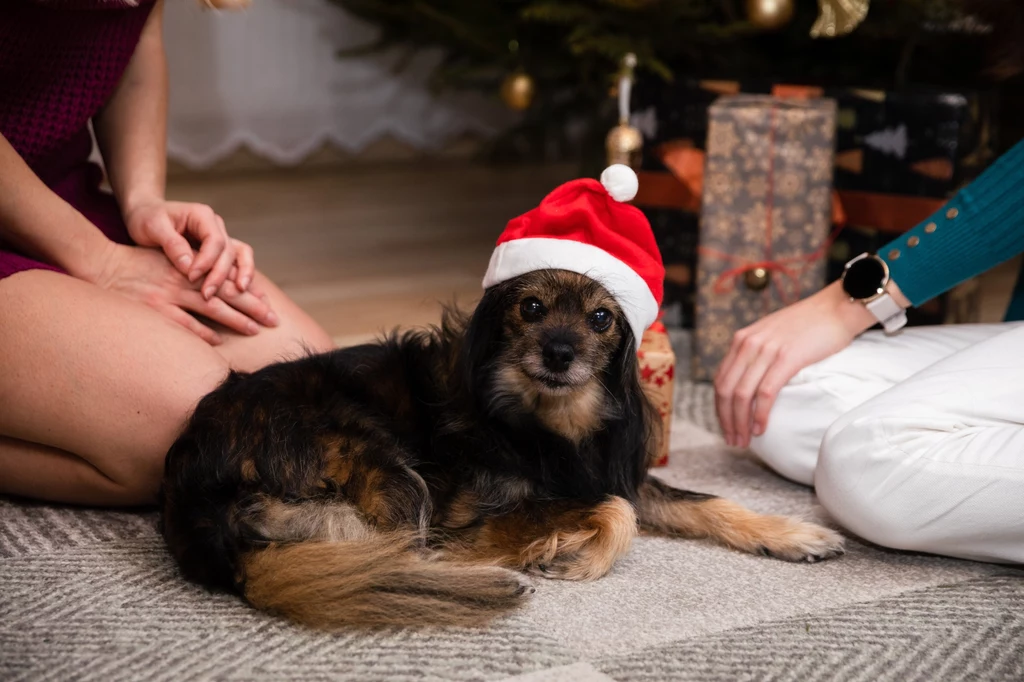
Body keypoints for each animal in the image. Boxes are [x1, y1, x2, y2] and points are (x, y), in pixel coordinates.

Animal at [161, 268, 847, 630]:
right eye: (532, 307)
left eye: (602, 318)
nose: (559, 353)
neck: (547, 421)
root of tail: (198, 505)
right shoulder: (477, 517)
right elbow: (617, 515)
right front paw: (575, 558)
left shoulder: (608, 474)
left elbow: (703, 502)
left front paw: (795, 534)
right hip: (391, 472)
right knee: (417, 553)